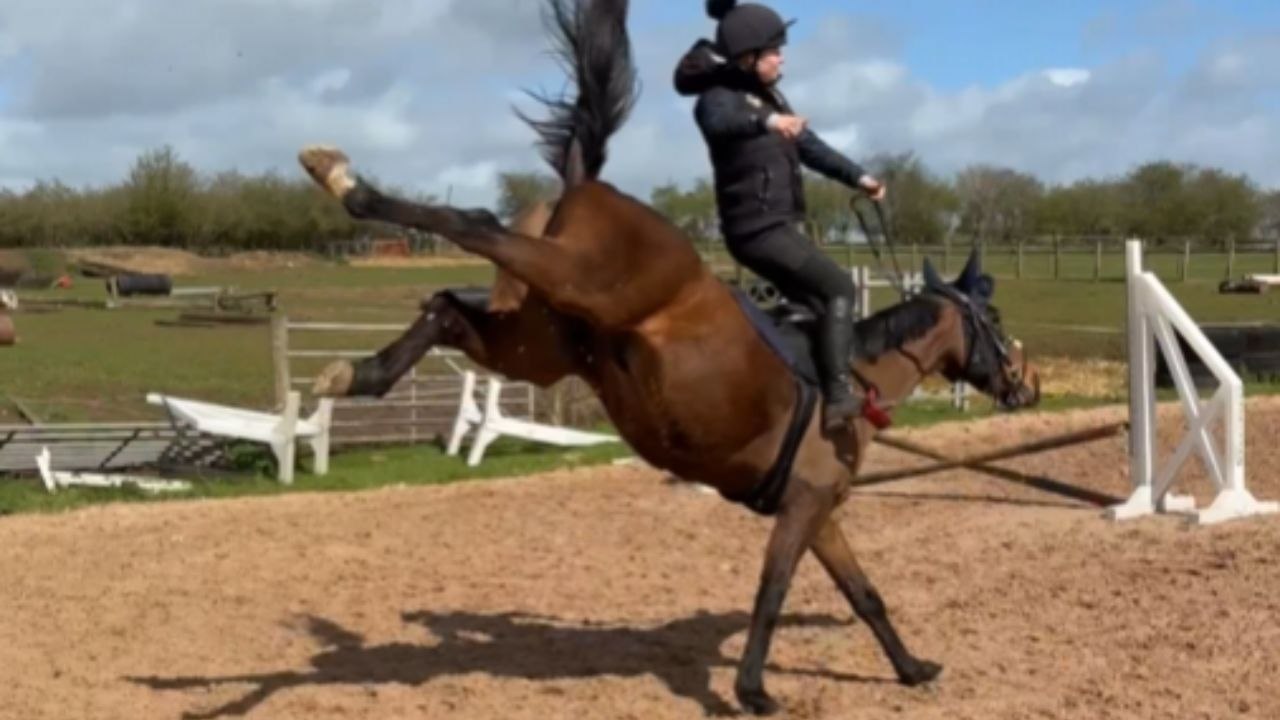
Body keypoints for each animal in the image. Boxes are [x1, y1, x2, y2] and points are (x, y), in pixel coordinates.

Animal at [297, 0, 1040, 713]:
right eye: (997, 320)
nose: (1025, 386)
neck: (858, 374)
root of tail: (585, 187)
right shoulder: (803, 506)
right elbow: (772, 593)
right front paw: (753, 692)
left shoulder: (820, 511)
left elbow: (865, 594)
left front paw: (912, 669)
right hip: (578, 279)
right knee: (475, 224)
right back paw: (342, 181)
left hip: (537, 344)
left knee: (448, 306)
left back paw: (355, 372)